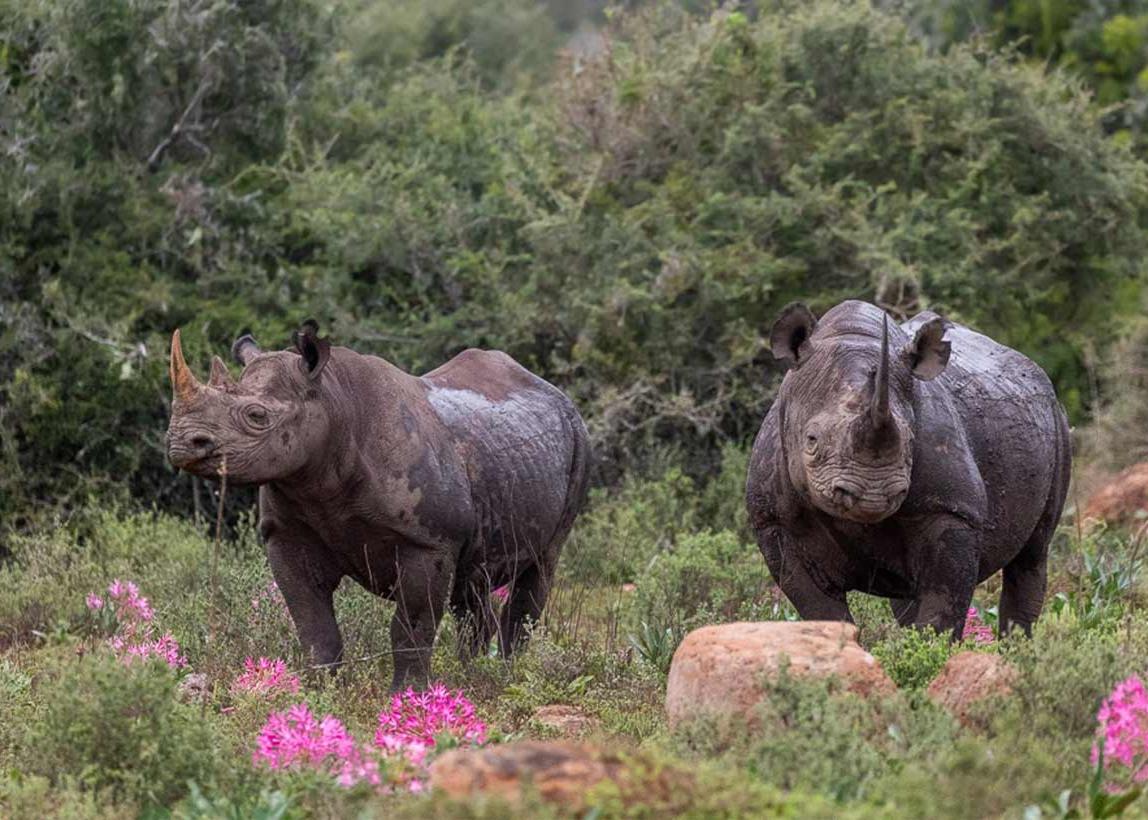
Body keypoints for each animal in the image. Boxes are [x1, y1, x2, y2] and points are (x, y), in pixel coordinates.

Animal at [165, 321, 591, 687]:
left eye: (256, 415)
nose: (182, 442)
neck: (332, 403)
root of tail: (553, 392)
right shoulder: (286, 533)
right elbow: (312, 622)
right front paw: (320, 689)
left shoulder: (429, 540)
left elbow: (411, 626)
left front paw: (407, 695)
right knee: (472, 582)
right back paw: (472, 675)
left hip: (578, 439)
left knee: (541, 565)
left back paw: (505, 675)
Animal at [746, 300, 1070, 637]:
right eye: (811, 440)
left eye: (912, 439)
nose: (872, 495)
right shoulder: (774, 520)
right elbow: (821, 611)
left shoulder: (952, 510)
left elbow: (941, 609)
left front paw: (928, 651)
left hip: (1056, 420)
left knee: (1033, 554)